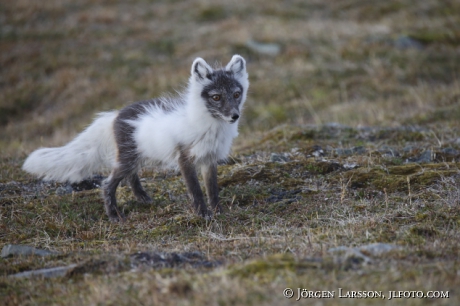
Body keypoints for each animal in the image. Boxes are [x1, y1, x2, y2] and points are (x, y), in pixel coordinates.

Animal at [22, 55, 248, 221]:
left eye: (236, 94)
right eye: (216, 97)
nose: (234, 116)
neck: (210, 126)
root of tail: (115, 115)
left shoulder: (209, 159)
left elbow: (212, 189)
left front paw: (218, 211)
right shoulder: (184, 158)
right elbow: (196, 190)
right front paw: (203, 215)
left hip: (135, 156)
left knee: (131, 177)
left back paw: (143, 199)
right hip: (127, 158)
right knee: (108, 183)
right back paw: (114, 216)